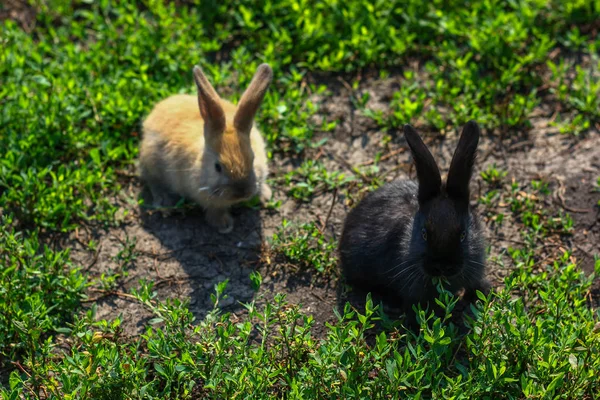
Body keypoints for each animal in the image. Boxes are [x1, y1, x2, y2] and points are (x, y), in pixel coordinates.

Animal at [139, 64, 274, 233]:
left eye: (253, 159)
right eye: (217, 167)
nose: (241, 192)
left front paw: (265, 196)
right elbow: (215, 210)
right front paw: (224, 225)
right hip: (151, 161)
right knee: (152, 180)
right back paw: (165, 202)